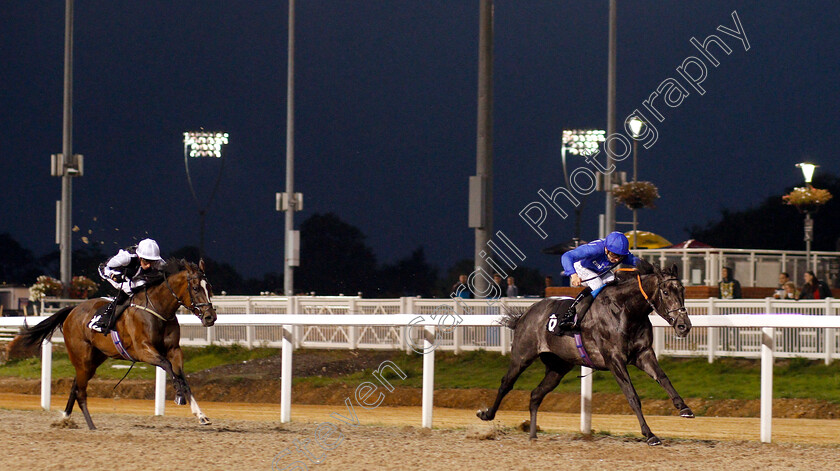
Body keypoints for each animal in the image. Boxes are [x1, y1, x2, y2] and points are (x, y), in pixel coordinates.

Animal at [10, 260, 217, 430]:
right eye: (195, 288)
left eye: (209, 287)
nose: (210, 317)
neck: (158, 309)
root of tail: (73, 309)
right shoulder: (144, 350)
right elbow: (168, 367)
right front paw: (179, 395)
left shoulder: (174, 350)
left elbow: (182, 376)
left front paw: (201, 415)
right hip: (82, 357)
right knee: (81, 391)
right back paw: (91, 426)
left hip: (94, 359)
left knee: (76, 386)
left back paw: (65, 419)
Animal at [480, 260, 696, 448]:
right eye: (665, 292)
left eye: (682, 290)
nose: (684, 326)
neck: (625, 310)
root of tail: (525, 314)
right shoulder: (614, 360)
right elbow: (632, 396)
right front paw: (650, 435)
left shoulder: (643, 353)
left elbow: (662, 377)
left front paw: (684, 408)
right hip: (522, 355)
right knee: (506, 383)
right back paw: (487, 414)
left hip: (558, 367)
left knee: (536, 394)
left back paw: (533, 435)